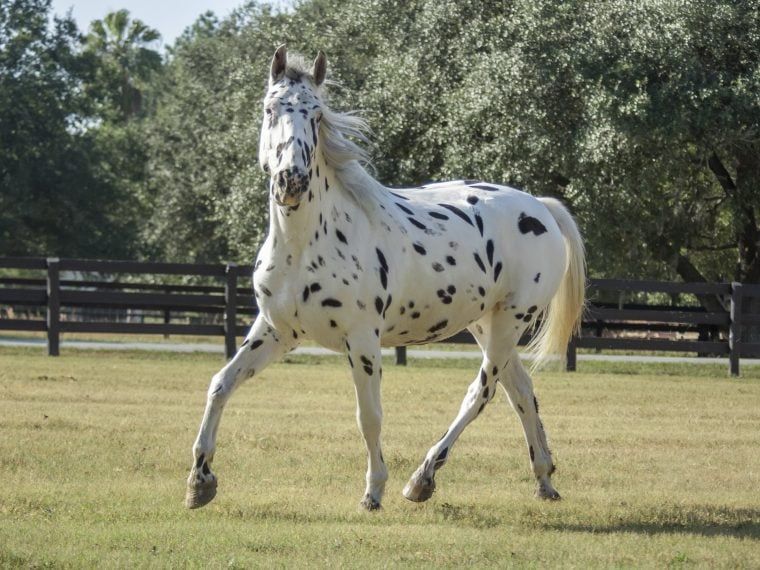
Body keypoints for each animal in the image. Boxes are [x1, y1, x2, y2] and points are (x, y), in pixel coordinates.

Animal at [186, 45, 588, 510]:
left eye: (316, 114)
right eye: (270, 108)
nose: (292, 181)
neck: (304, 243)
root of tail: (540, 208)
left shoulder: (361, 340)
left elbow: (369, 416)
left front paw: (374, 490)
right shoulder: (275, 331)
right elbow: (221, 384)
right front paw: (199, 482)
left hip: (510, 321)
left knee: (481, 392)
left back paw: (421, 479)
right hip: (484, 324)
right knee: (520, 390)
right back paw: (544, 479)